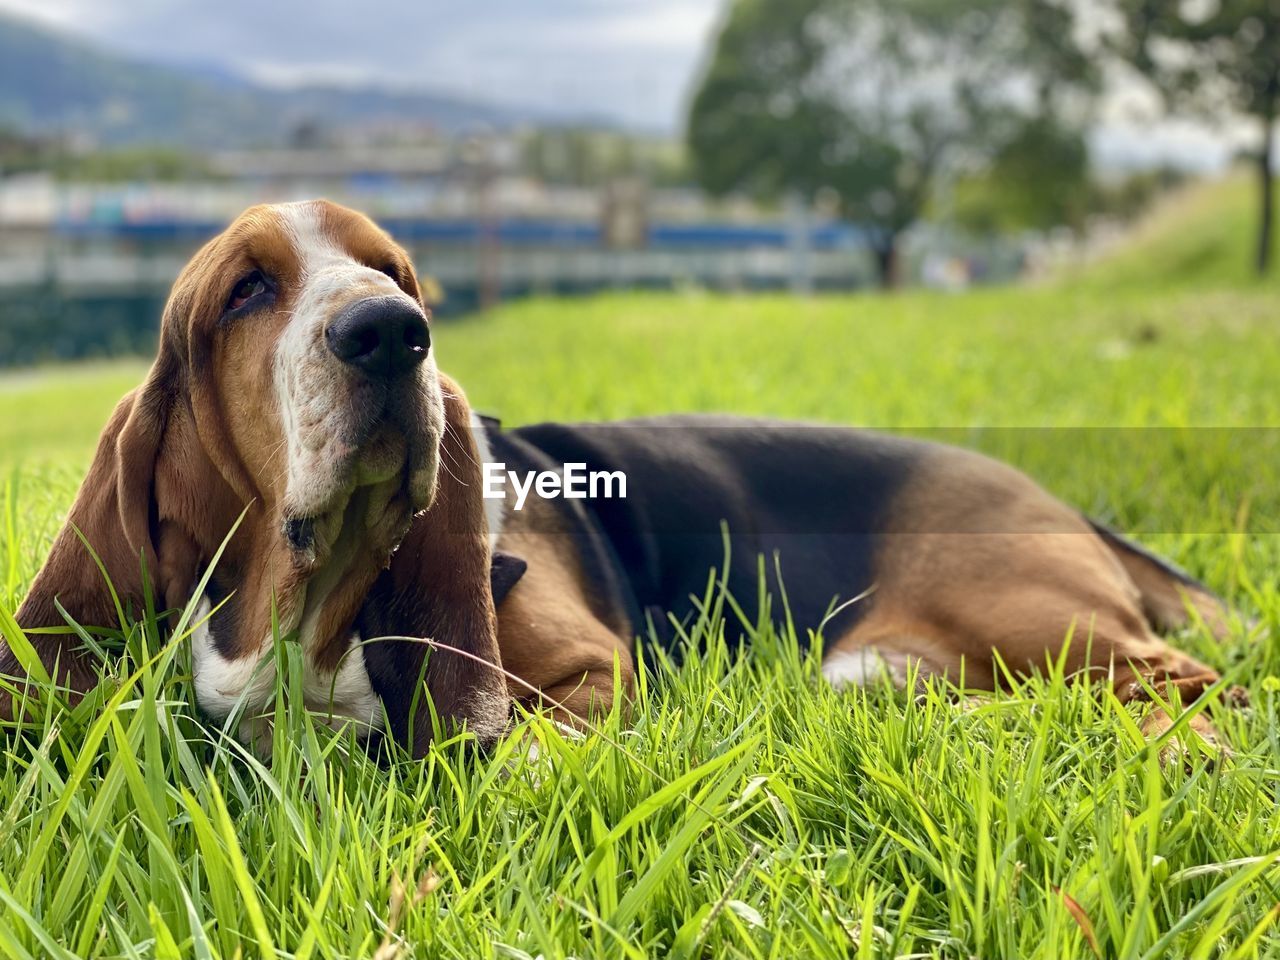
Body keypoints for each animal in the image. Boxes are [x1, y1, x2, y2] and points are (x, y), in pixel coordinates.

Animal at [0, 203, 1239, 757]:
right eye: (247, 292)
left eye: (397, 272)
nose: (393, 332)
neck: (306, 612)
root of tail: (1060, 500)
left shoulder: (588, 675)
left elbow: (512, 743)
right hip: (893, 673)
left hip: (1039, 621)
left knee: (1194, 687)